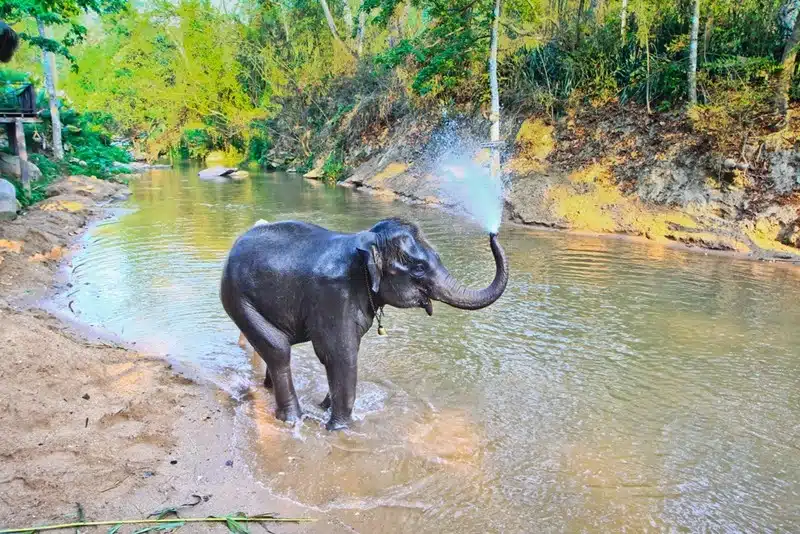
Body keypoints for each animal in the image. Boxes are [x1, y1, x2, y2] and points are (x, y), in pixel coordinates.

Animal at [220, 217, 509, 430]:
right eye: (418, 268)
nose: (493, 233)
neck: (364, 241)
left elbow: (345, 353)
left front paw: (325, 407)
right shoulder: (333, 295)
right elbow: (340, 354)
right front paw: (339, 428)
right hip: (238, 298)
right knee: (278, 350)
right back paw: (291, 419)